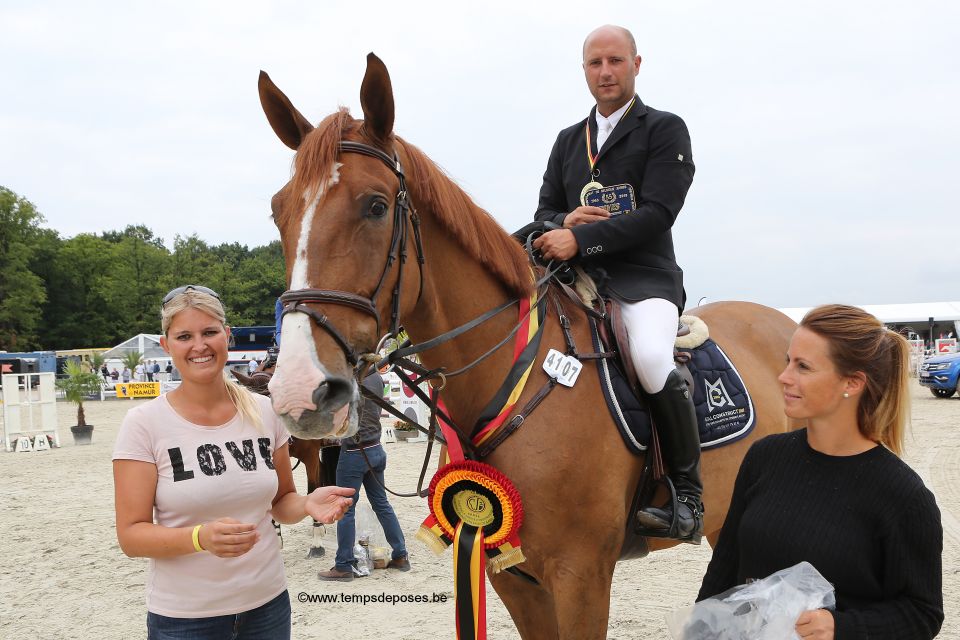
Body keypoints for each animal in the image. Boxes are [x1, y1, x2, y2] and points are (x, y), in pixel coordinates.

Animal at [256, 56, 796, 640]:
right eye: (278, 212)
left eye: (376, 206)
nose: (299, 391)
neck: (512, 374)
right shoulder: (510, 572)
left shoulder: (581, 575)